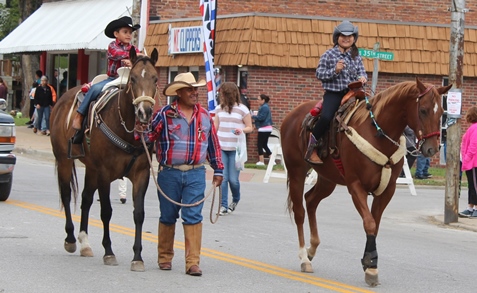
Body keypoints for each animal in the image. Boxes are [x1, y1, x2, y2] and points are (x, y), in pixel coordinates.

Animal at [49, 46, 158, 270]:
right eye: (133, 78)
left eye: (156, 78)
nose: (144, 111)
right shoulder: (105, 173)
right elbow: (106, 211)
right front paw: (109, 252)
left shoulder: (141, 174)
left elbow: (139, 214)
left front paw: (137, 257)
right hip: (65, 161)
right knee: (66, 194)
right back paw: (71, 239)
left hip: (91, 169)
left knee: (85, 199)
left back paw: (85, 243)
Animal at [280, 78, 452, 286]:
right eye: (423, 110)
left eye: (442, 113)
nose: (432, 149)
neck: (377, 134)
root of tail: (291, 116)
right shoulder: (356, 187)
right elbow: (369, 223)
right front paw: (371, 266)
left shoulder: (387, 191)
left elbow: (375, 225)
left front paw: (369, 262)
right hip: (296, 172)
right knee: (299, 212)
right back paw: (304, 257)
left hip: (327, 180)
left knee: (311, 200)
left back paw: (312, 249)